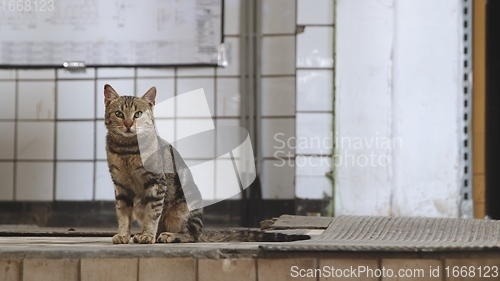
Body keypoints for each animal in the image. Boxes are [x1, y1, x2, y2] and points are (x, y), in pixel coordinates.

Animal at [103, 83, 306, 243]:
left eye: (138, 114)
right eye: (119, 113)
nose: (129, 124)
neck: (127, 149)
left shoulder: (156, 182)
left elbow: (152, 214)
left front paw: (147, 235)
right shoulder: (120, 185)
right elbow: (123, 214)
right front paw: (123, 235)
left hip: (183, 210)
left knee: (191, 235)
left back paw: (168, 235)